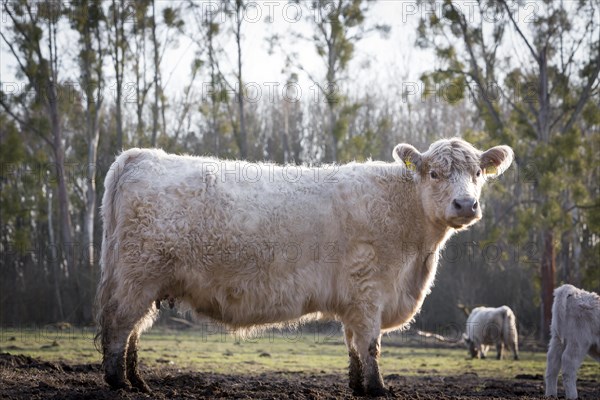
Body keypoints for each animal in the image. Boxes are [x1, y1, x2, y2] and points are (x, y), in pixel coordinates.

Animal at [96, 139, 512, 396]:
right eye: (435, 173)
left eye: (477, 173)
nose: (465, 204)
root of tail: (140, 155)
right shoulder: (369, 291)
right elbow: (370, 345)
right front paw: (377, 389)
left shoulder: (355, 298)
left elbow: (353, 345)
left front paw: (358, 387)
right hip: (137, 277)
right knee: (119, 326)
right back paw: (119, 383)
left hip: (144, 283)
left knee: (134, 332)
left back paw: (138, 382)